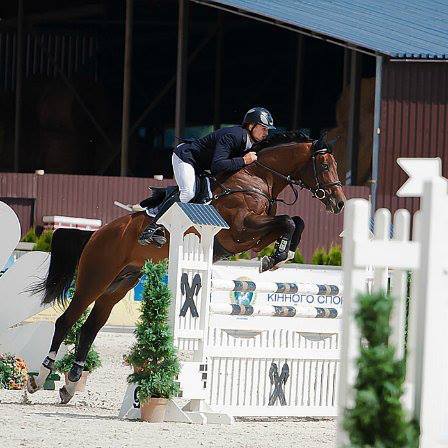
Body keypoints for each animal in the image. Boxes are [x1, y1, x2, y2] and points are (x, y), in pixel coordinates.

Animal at [28, 131, 346, 404]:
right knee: (66, 321)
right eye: (325, 165)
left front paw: (282, 253)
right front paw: (278, 255)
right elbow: (289, 221)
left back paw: (70, 384)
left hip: (120, 283)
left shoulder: (253, 236)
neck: (256, 177)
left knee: (91, 326)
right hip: (95, 278)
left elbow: (294, 222)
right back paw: (40, 378)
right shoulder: (240, 230)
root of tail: (97, 233)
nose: (340, 203)